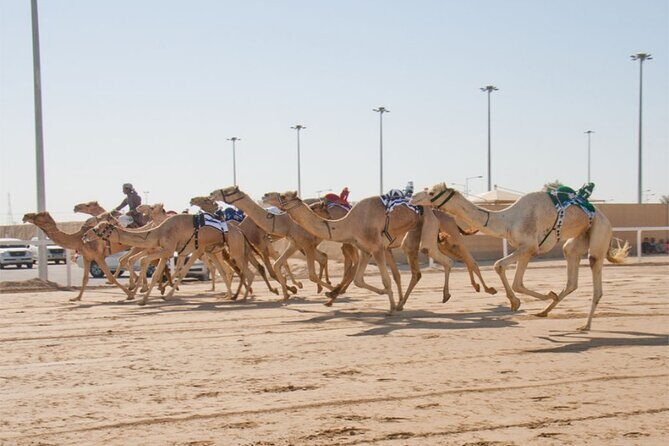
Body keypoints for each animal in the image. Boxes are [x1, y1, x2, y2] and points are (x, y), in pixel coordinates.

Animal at [411, 183, 629, 330]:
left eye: (431, 192)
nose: (413, 197)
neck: (507, 220)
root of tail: (604, 218)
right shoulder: (527, 250)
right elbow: (517, 282)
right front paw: (540, 297)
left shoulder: (529, 246)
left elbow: (498, 265)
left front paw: (515, 302)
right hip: (576, 242)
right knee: (571, 278)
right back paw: (545, 311)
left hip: (599, 234)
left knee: (595, 275)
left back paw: (585, 325)